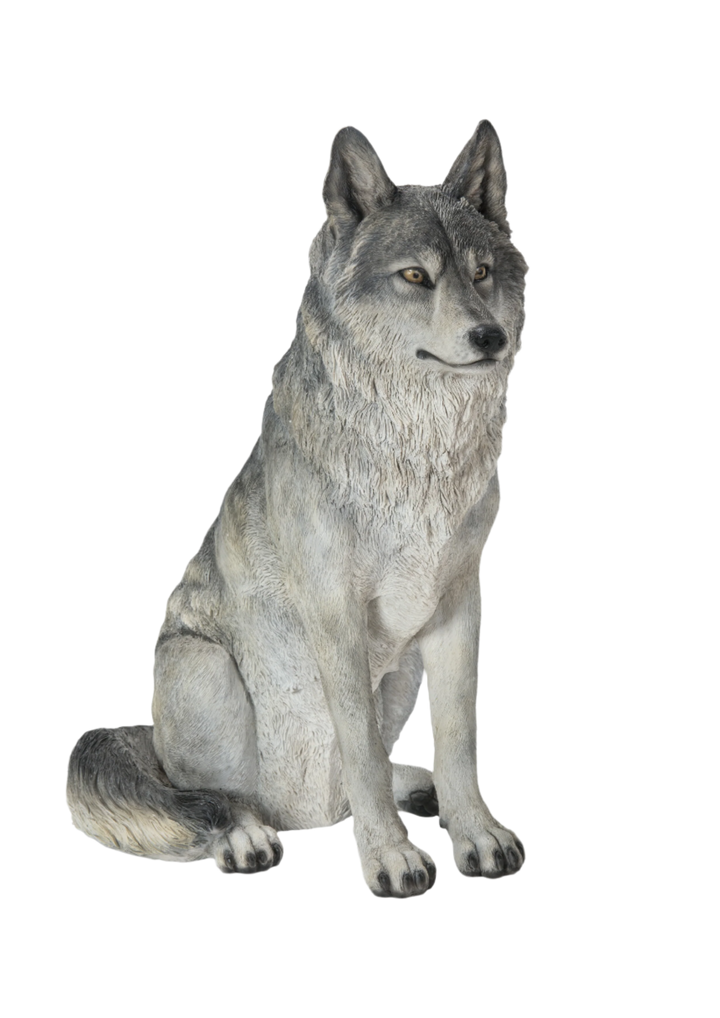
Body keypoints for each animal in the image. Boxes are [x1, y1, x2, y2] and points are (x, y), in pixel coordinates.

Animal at [64, 118, 530, 899]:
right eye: (415, 277)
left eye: (482, 273)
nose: (489, 338)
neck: (416, 455)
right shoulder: (335, 613)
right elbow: (363, 754)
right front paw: (392, 860)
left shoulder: (459, 602)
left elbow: (458, 740)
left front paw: (477, 835)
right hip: (202, 668)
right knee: (215, 799)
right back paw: (249, 837)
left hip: (398, 675)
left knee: (346, 788)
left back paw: (415, 791)